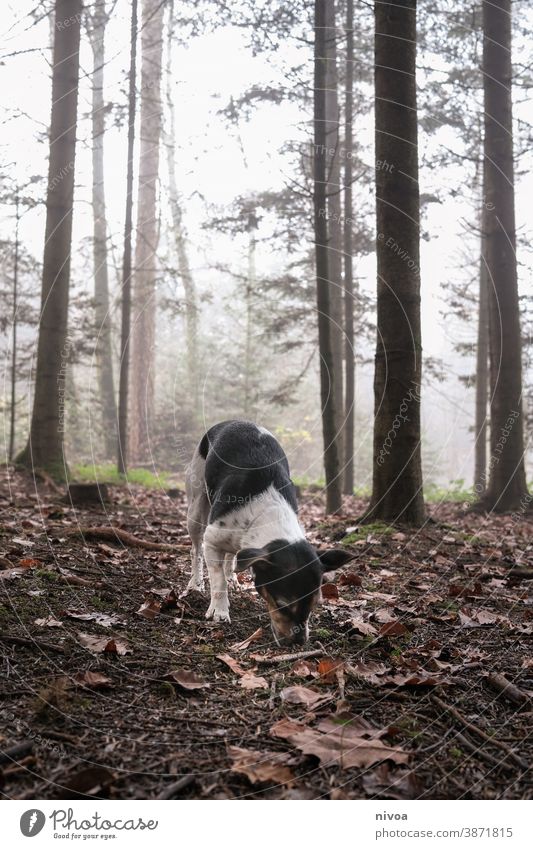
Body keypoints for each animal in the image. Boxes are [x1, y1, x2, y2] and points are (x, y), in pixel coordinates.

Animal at [184, 420, 354, 644]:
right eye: (282, 605)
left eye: (315, 604)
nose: (299, 642)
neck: (267, 513)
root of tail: (232, 421)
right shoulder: (212, 540)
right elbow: (218, 581)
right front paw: (219, 611)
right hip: (196, 507)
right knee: (195, 550)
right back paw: (195, 583)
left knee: (231, 555)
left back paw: (232, 578)